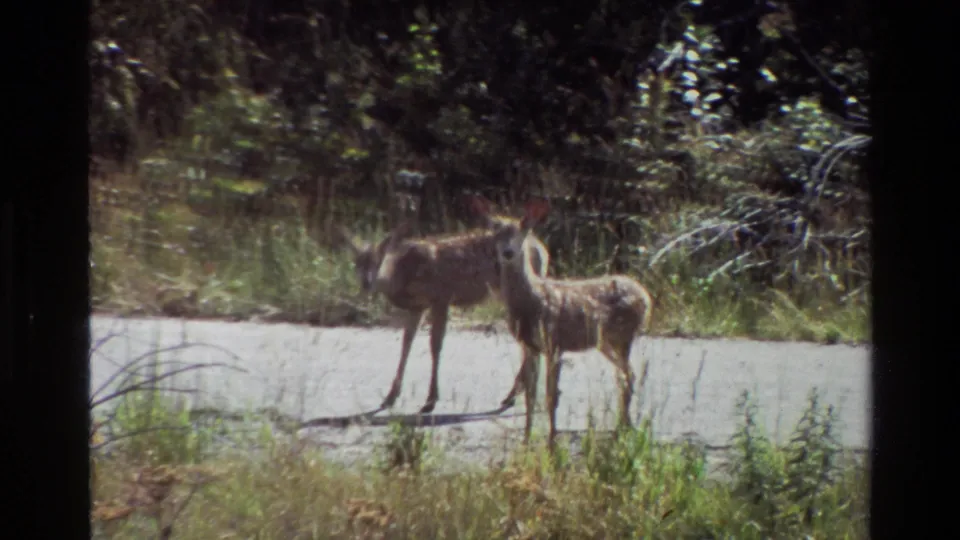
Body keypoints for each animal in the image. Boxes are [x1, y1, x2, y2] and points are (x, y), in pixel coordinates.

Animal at [334, 195, 552, 414]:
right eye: (356, 263)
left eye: (379, 261)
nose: (367, 283)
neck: (405, 272)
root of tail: (543, 250)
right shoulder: (417, 307)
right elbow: (406, 343)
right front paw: (390, 397)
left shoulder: (441, 297)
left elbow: (435, 345)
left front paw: (430, 400)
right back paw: (515, 395)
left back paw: (514, 395)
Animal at [472, 197, 654, 450]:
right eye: (495, 231)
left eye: (523, 231)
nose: (508, 252)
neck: (532, 301)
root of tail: (646, 297)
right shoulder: (530, 347)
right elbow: (531, 396)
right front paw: (526, 439)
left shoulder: (555, 343)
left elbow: (551, 396)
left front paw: (551, 441)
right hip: (604, 342)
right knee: (628, 375)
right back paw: (623, 426)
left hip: (623, 335)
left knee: (627, 375)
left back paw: (623, 428)